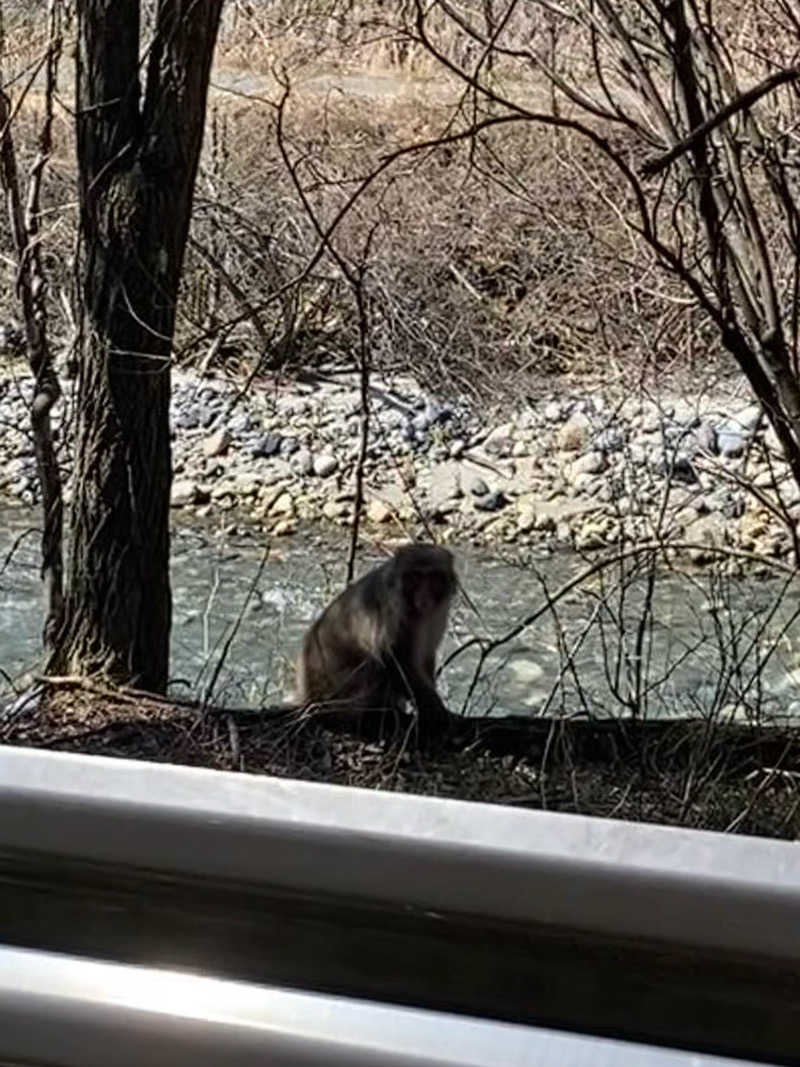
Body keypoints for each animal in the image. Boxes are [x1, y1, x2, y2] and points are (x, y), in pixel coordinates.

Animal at [298, 542, 456, 742]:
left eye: (433, 577)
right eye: (415, 577)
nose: (423, 595)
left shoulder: (438, 613)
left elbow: (425, 657)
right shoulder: (395, 610)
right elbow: (393, 658)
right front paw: (434, 710)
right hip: (336, 694)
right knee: (373, 666)